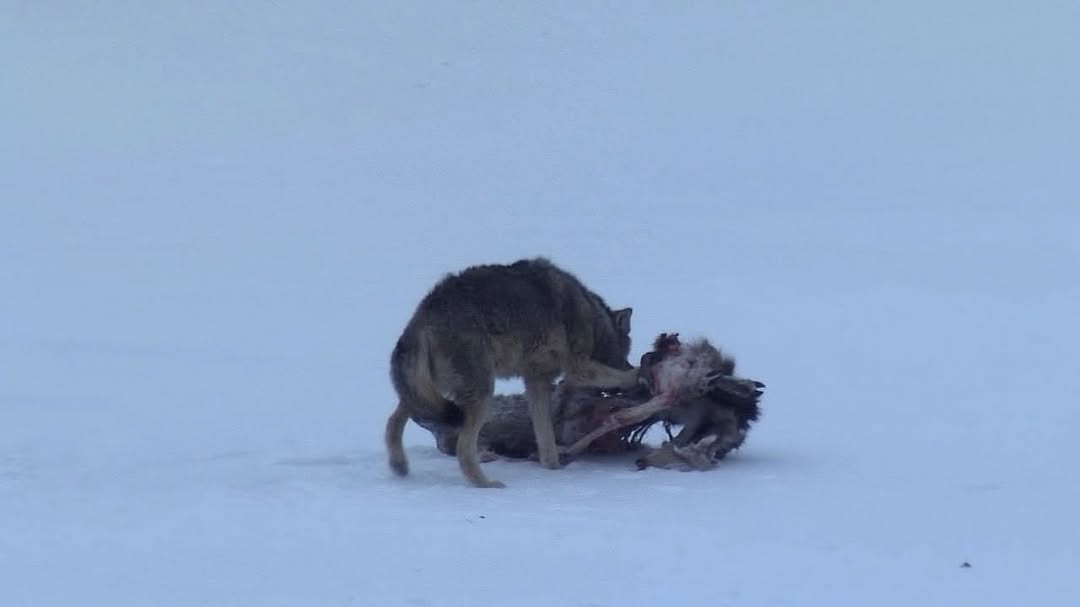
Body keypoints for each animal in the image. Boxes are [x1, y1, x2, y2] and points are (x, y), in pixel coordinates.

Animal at [383, 256, 640, 488]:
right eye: (626, 354)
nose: (630, 364)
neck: (592, 317)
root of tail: (421, 318)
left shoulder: (537, 381)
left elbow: (545, 436)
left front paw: (553, 469)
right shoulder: (577, 367)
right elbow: (615, 377)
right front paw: (639, 375)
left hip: (427, 394)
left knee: (393, 421)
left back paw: (400, 467)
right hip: (480, 396)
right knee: (463, 449)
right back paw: (487, 485)